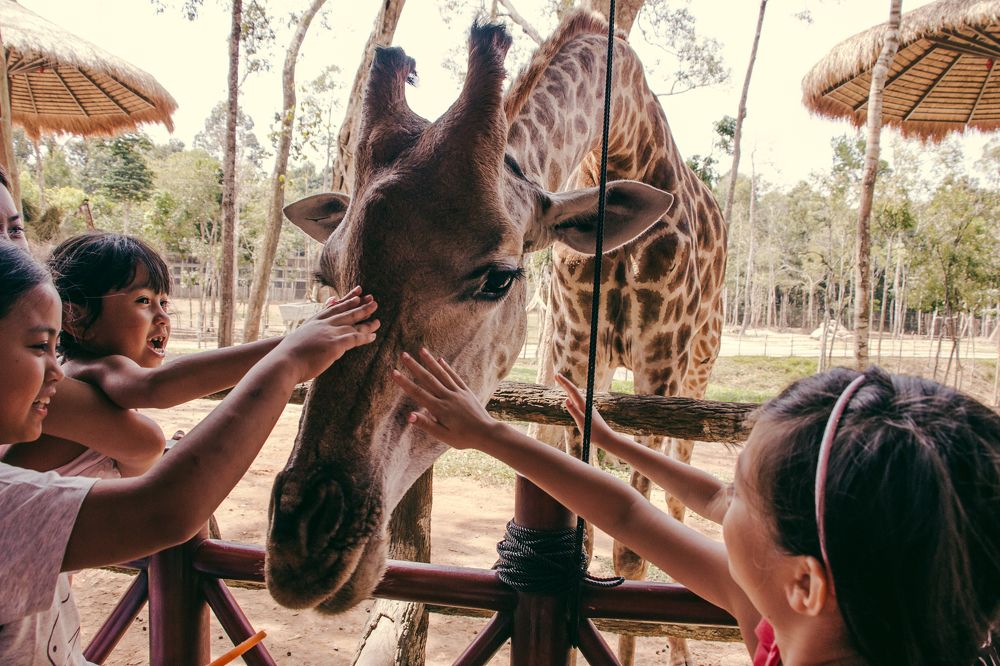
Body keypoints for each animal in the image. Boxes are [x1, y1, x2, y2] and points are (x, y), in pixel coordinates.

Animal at [265, 13, 724, 664]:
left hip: (697, 369)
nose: (304, 544)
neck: (622, 142)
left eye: (499, 278)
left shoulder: (660, 371)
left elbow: (632, 552)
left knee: (681, 494)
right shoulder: (568, 359)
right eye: (326, 278)